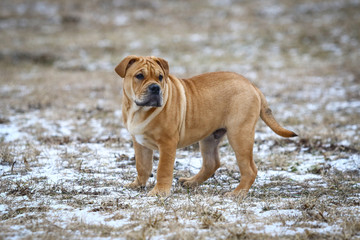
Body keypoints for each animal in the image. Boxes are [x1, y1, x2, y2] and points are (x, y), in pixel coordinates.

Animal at [114, 55, 296, 197]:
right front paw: (137, 185)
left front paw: (159, 192)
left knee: (250, 169)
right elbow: (142, 166)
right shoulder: (139, 142)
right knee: (211, 163)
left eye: (160, 77)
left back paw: (237, 193)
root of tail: (251, 85)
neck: (139, 110)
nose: (155, 88)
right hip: (210, 138)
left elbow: (163, 169)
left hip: (239, 135)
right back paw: (191, 182)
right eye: (139, 76)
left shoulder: (167, 143)